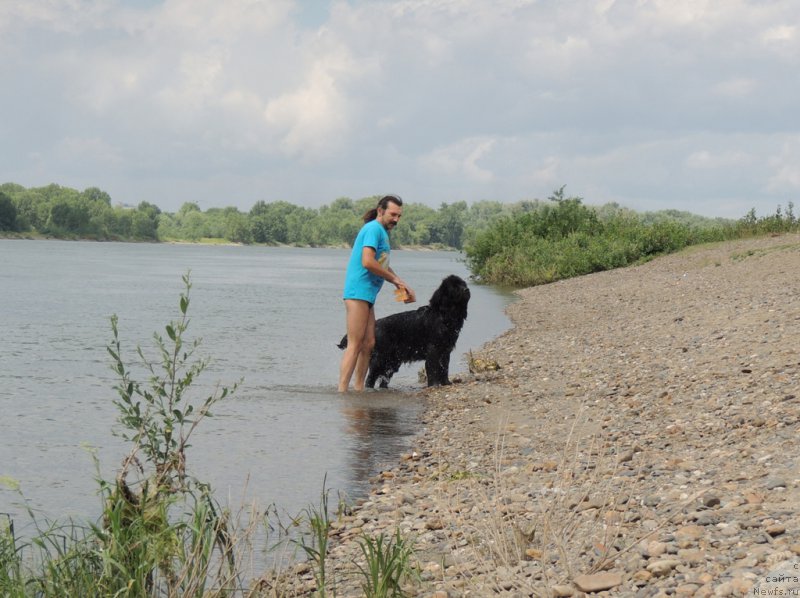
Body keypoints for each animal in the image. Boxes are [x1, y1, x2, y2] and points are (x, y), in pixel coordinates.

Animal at [338, 276, 468, 390]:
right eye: (454, 287)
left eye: (463, 284)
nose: (466, 290)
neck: (445, 315)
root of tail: (376, 324)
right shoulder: (433, 350)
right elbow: (433, 369)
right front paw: (433, 385)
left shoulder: (446, 349)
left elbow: (445, 367)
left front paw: (446, 383)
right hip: (379, 359)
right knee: (370, 379)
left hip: (392, 362)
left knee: (383, 381)